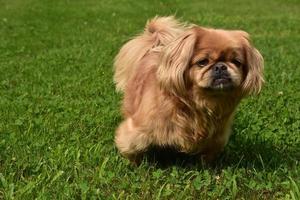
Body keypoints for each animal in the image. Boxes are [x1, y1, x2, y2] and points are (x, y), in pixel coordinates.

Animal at [113, 16, 264, 164]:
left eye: (236, 62)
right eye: (202, 62)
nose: (220, 66)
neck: (200, 102)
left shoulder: (217, 137)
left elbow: (208, 157)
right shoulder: (137, 130)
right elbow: (131, 147)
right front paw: (136, 164)